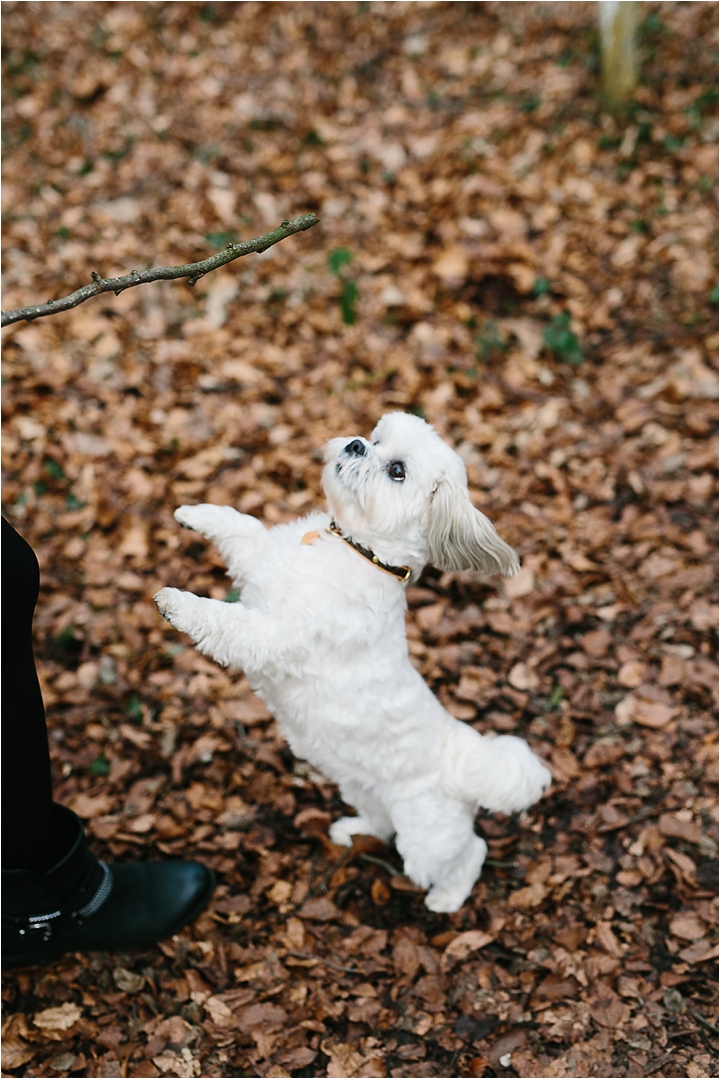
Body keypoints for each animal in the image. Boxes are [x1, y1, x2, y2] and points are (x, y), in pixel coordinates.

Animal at [155, 412, 548, 910]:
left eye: (397, 471)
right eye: (376, 438)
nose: (358, 444)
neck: (355, 548)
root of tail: (459, 760)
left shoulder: (274, 634)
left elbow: (225, 620)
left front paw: (178, 603)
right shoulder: (258, 562)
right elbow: (242, 527)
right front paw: (195, 512)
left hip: (427, 840)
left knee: (470, 852)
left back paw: (447, 898)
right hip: (361, 787)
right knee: (380, 822)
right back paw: (354, 831)